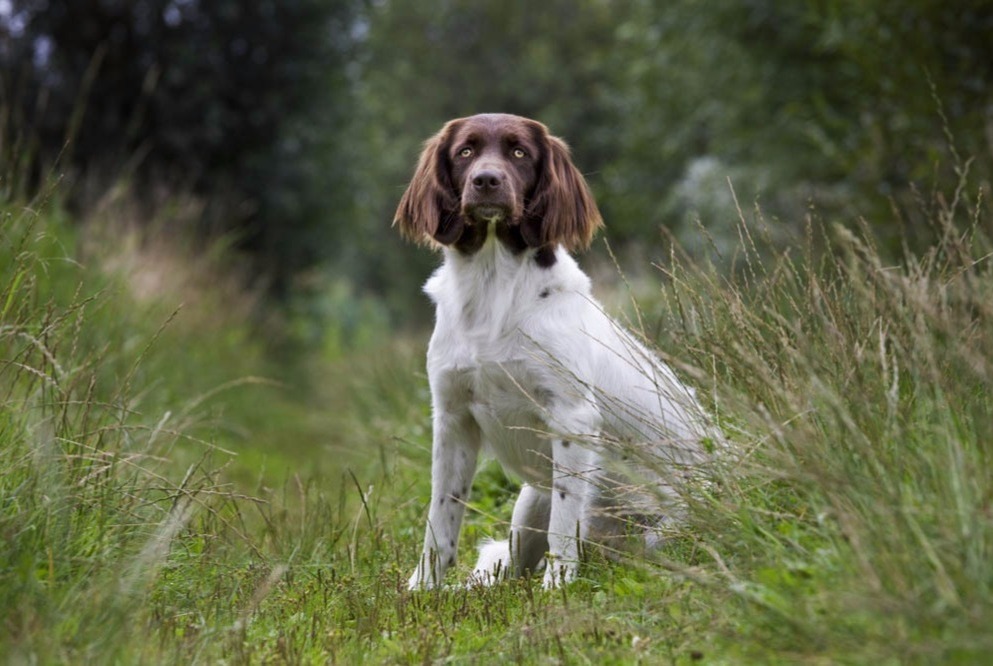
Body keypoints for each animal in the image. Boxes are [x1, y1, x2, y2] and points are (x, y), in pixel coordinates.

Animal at [394, 113, 712, 588]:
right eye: (465, 151)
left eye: (519, 152)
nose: (486, 181)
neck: (493, 290)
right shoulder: (453, 416)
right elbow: (441, 516)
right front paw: (423, 589)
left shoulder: (572, 416)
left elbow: (565, 521)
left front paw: (559, 586)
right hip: (528, 505)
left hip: (659, 532)